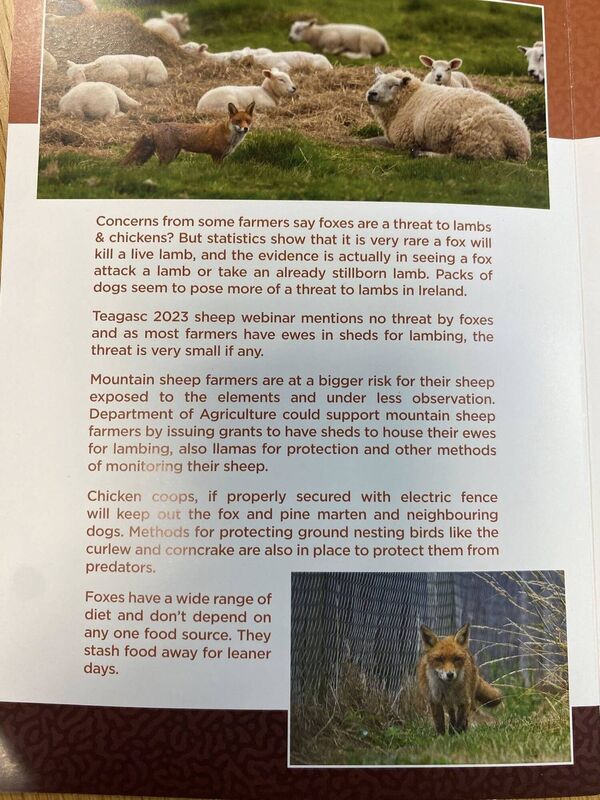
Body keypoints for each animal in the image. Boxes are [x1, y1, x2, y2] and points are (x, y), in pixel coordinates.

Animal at [122, 101, 255, 166]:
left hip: (172, 155)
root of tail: (154, 126)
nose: (245, 128)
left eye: (248, 121)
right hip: (168, 155)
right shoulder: (216, 155)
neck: (231, 138)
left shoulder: (221, 157)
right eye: (238, 121)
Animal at [365, 68, 531, 161]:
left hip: (472, 141)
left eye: (393, 85)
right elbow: (373, 140)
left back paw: (422, 153)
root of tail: (521, 142)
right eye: (375, 81)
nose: (371, 94)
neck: (409, 99)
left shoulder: (403, 142)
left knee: (457, 157)